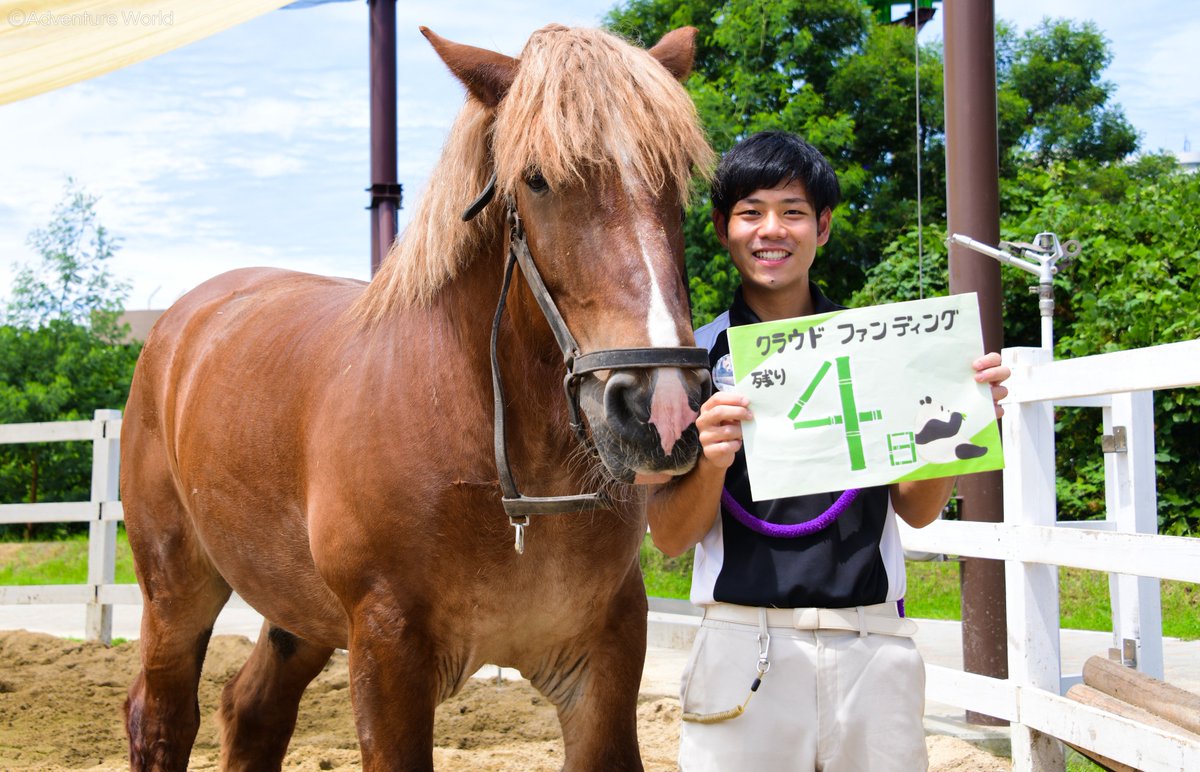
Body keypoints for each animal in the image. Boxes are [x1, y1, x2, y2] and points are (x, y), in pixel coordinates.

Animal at [124, 24, 710, 772]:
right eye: (537, 178)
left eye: (678, 177)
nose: (662, 409)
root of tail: (179, 323)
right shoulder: (386, 653)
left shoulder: (604, 661)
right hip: (177, 591)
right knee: (162, 717)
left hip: (296, 613)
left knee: (252, 710)